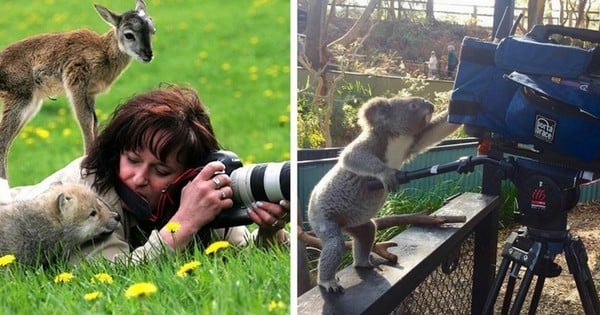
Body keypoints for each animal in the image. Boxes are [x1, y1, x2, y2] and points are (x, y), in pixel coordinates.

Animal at [0, 0, 156, 202]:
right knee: (3, 140)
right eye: (129, 34)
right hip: (20, 97)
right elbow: (85, 120)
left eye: (152, 31)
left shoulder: (91, 94)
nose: (148, 55)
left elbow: (94, 122)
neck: (104, 53)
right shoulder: (76, 81)